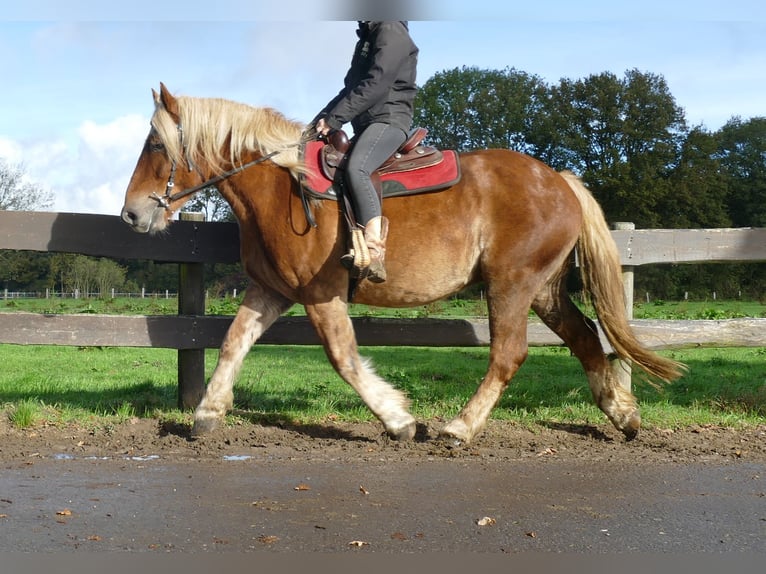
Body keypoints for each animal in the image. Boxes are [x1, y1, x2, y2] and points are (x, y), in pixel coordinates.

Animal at [121, 83, 683, 444]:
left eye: (155, 143)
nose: (131, 214)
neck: (282, 185)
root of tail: (561, 180)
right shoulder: (271, 291)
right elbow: (232, 344)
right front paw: (207, 413)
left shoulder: (321, 294)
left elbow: (344, 359)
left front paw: (398, 420)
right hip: (544, 290)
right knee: (586, 337)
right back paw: (623, 414)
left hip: (512, 285)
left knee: (509, 354)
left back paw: (460, 428)